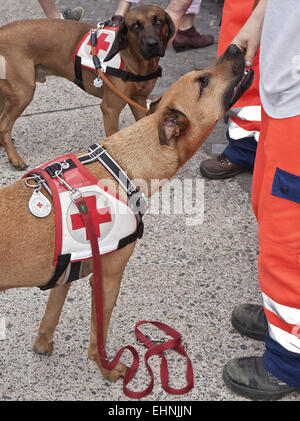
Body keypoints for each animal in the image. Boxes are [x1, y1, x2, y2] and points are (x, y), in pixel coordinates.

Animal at [0, 5, 173, 169]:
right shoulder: (110, 109)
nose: (152, 44)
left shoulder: (139, 101)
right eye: (136, 26)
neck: (136, 62)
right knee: (4, 125)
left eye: (158, 21)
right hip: (22, 93)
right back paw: (14, 158)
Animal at [0, 45, 253, 384]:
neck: (123, 163)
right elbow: (98, 338)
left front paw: (43, 345)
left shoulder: (68, 271)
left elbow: (50, 316)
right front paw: (109, 369)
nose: (236, 48)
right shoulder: (108, 277)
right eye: (203, 81)